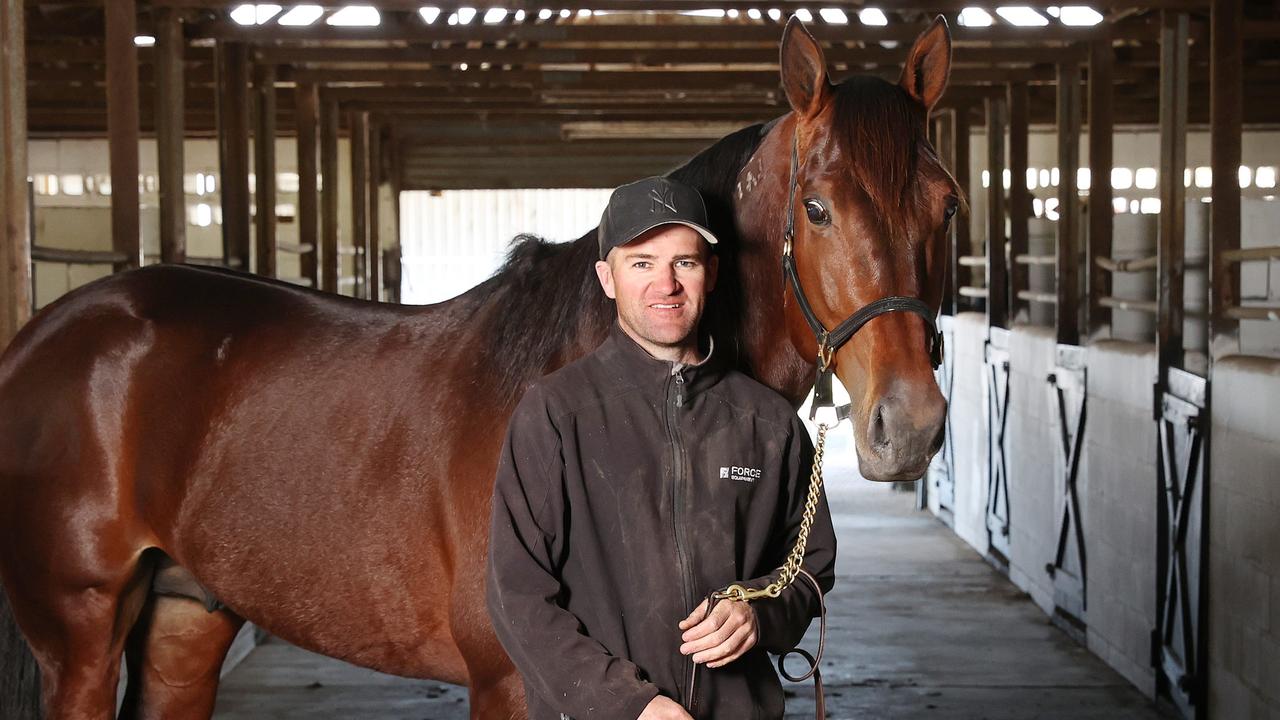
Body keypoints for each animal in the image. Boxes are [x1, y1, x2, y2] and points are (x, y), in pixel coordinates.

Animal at [2, 18, 962, 717]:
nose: (911, 426)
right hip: (81, 636)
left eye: (946, 206)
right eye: (817, 208)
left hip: (186, 616)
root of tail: (45, 333)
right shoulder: (509, 683)